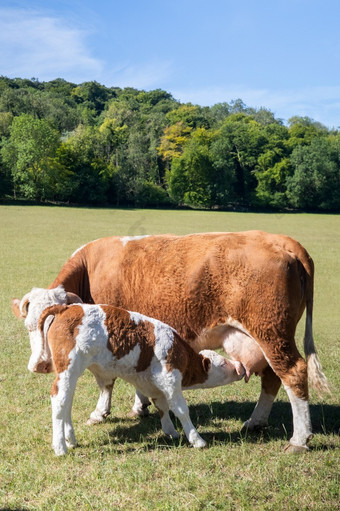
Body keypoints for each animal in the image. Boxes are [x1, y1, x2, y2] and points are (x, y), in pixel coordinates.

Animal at [33, 304, 244, 456]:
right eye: (223, 363)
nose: (240, 367)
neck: (180, 352)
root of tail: (66, 307)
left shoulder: (154, 384)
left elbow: (162, 407)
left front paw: (171, 432)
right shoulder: (170, 379)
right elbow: (181, 410)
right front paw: (196, 439)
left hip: (71, 373)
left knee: (66, 402)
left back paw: (71, 440)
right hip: (68, 368)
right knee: (59, 401)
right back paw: (60, 447)